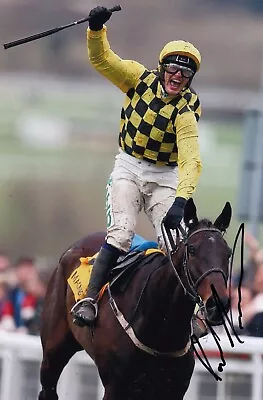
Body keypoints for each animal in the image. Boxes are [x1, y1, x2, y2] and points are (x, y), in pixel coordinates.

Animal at [37, 198, 233, 398]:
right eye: (192, 250)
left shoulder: (172, 389)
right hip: (53, 351)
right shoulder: (115, 387)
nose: (218, 304)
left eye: (228, 253)